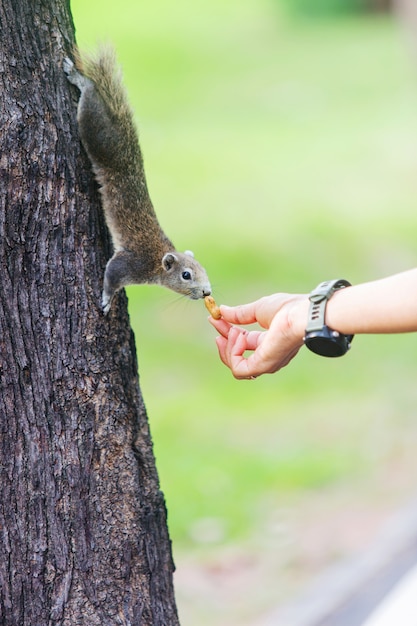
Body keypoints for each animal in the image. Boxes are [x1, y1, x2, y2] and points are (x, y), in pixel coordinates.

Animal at [62, 45, 211, 312]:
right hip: (98, 135)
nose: (207, 292)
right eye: (186, 275)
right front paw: (107, 300)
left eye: (203, 268)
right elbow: (112, 275)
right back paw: (79, 78)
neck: (157, 261)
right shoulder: (131, 263)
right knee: (91, 97)